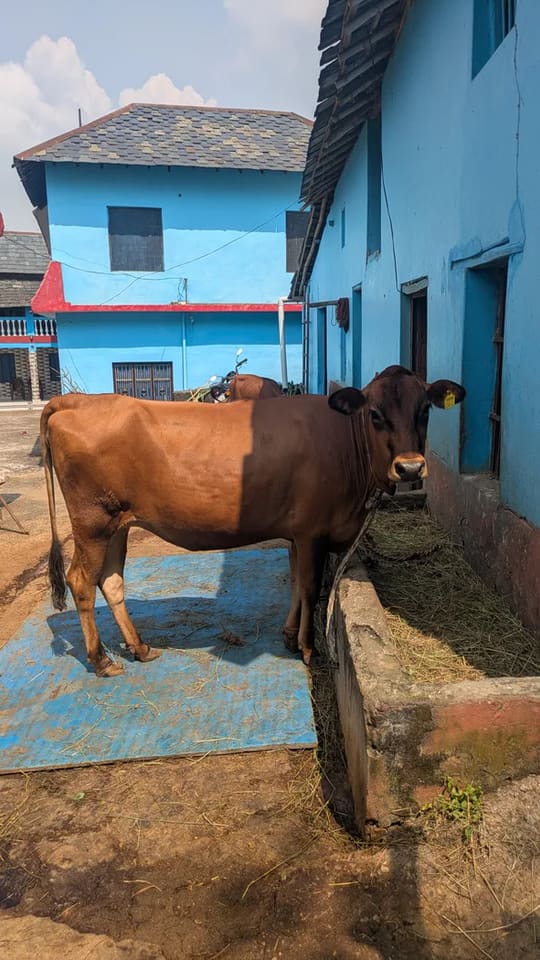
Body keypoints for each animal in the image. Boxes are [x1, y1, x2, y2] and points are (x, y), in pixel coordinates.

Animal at [40, 365, 465, 677]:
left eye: (425, 411)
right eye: (374, 414)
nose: (410, 467)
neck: (345, 443)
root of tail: (73, 401)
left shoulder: (296, 534)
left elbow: (294, 583)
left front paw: (289, 635)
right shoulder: (312, 532)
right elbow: (310, 587)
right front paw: (308, 647)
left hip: (118, 524)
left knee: (111, 581)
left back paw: (140, 648)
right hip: (93, 521)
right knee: (82, 581)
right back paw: (101, 660)